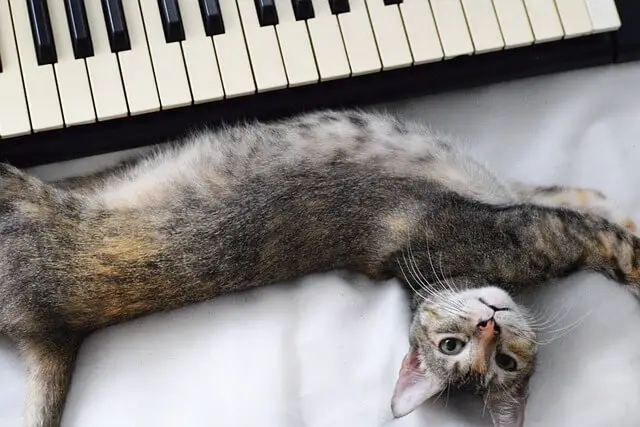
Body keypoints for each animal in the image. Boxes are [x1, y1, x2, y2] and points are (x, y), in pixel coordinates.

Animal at [1, 110, 640, 427]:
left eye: (503, 362)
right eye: (453, 348)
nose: (489, 324)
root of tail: (49, 328)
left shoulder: (526, 205)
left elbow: (587, 205)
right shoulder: (527, 224)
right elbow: (616, 244)